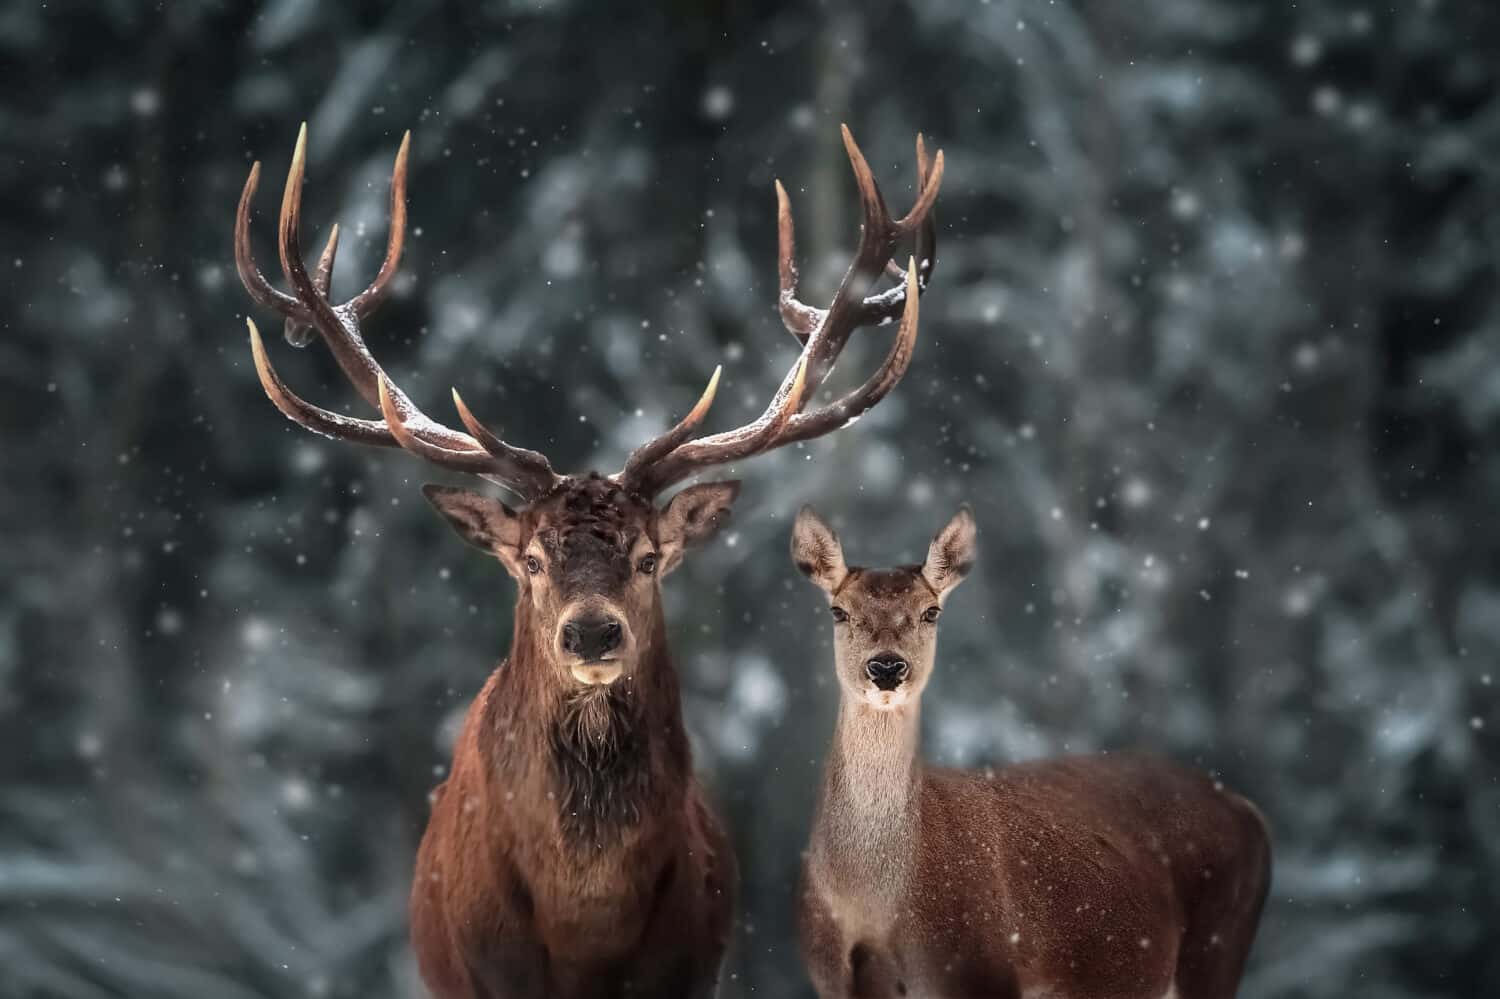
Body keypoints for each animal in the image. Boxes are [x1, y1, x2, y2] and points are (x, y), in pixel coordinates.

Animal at [792, 507, 1272, 996]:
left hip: (1217, 946)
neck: (873, 905)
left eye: (931, 611)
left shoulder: (981, 969)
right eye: (838, 610)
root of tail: (1248, 810)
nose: (887, 666)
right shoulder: (830, 979)